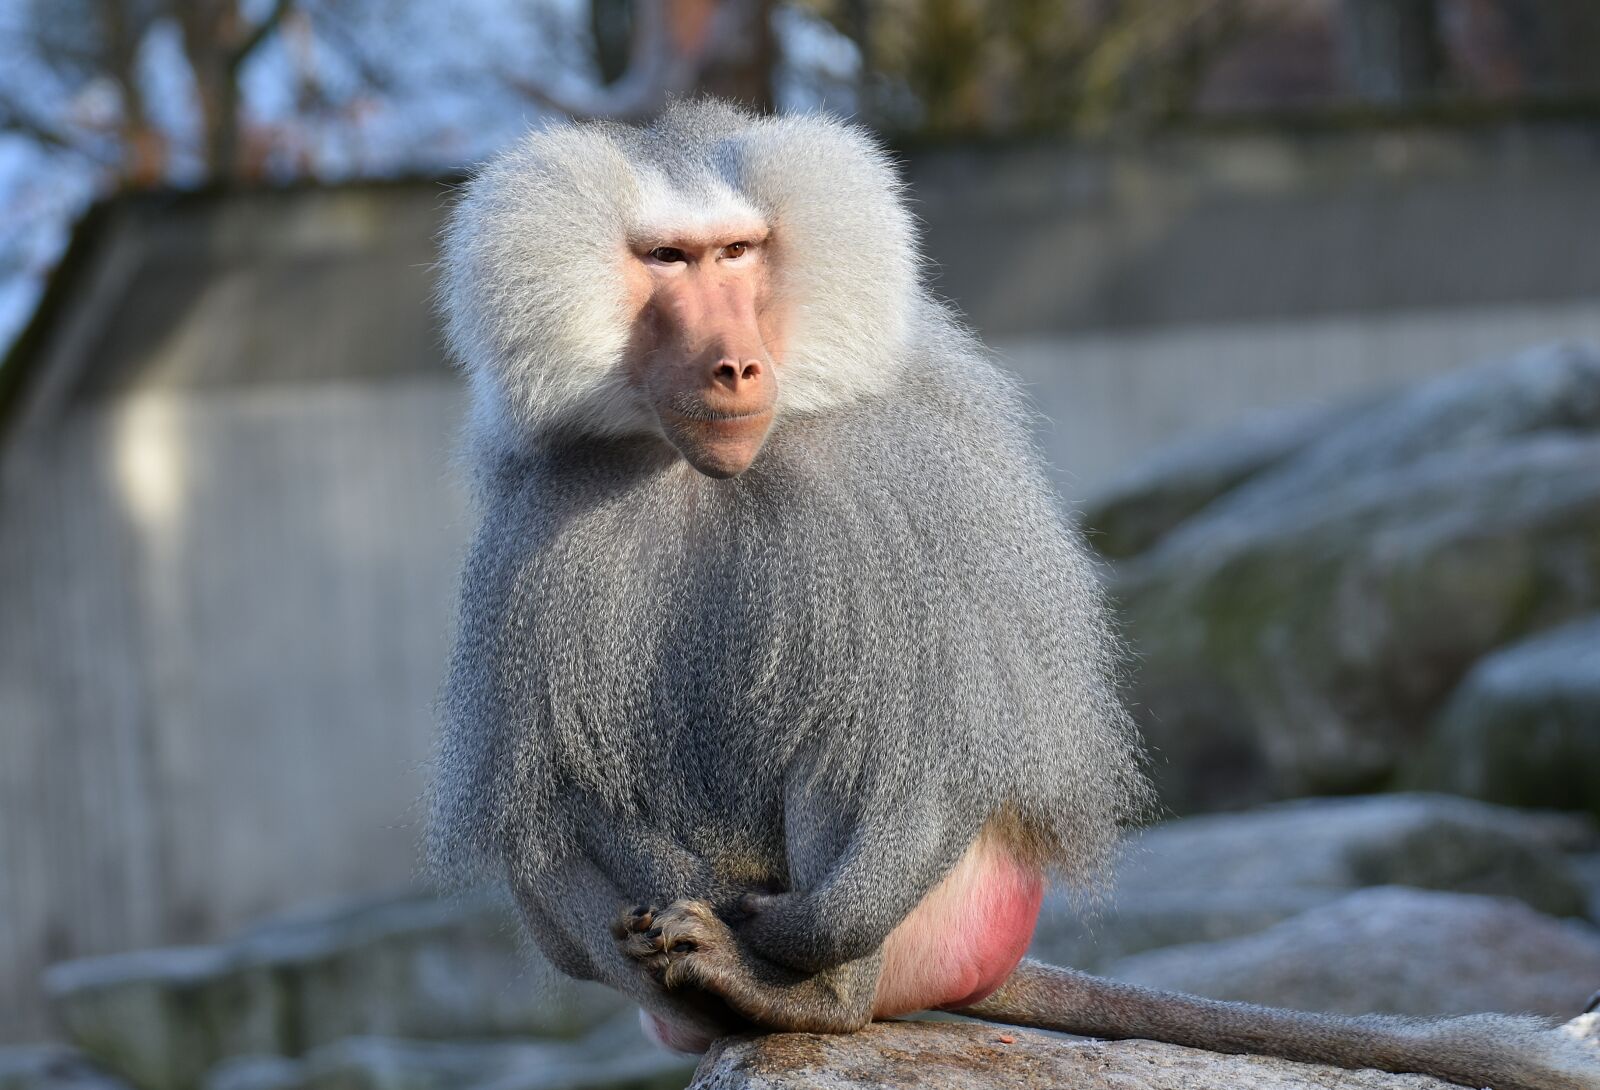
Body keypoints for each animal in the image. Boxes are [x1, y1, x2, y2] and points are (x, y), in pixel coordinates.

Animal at [428, 100, 1600, 1090]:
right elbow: (565, 792)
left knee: (861, 728)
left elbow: (941, 738)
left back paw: (794, 991)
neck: (715, 470)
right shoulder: (541, 527)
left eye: (739, 253)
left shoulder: (908, 486)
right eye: (667, 260)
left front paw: (777, 938)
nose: (734, 370)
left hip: (955, 911)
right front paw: (673, 912)